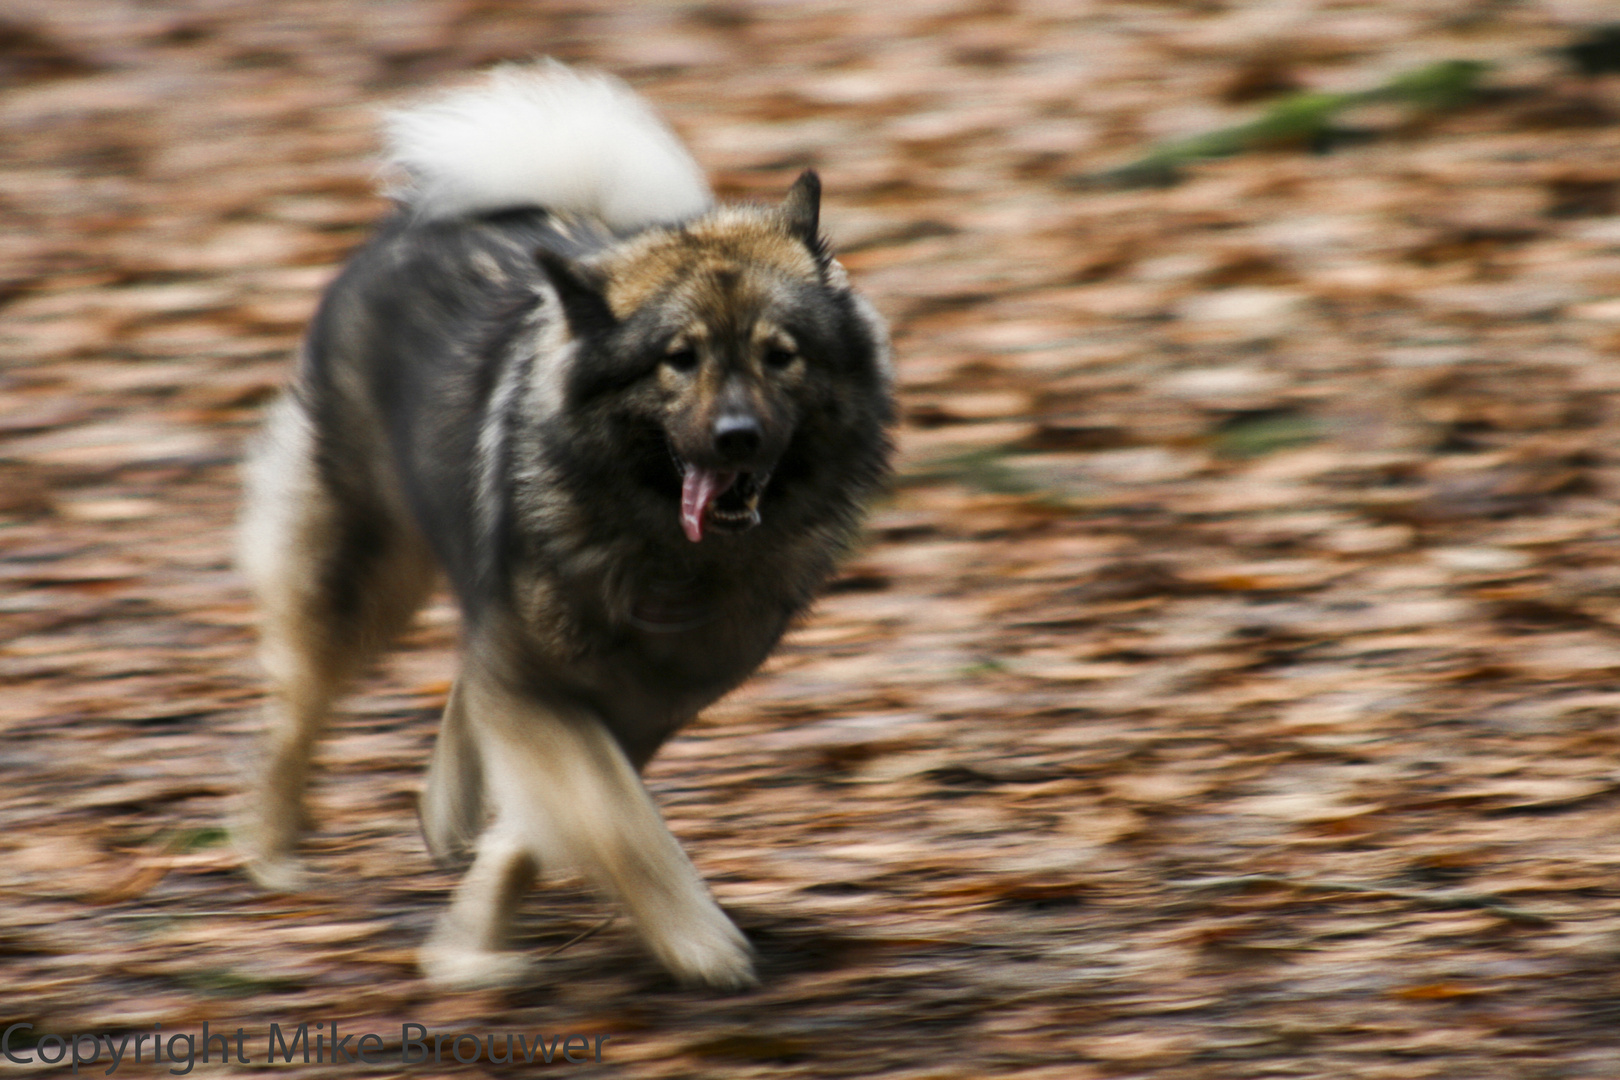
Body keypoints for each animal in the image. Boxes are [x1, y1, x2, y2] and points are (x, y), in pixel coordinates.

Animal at [236, 59, 900, 990]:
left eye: (781, 356)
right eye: (680, 358)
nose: (738, 437)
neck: (664, 550)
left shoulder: (637, 708)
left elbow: (540, 833)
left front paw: (472, 936)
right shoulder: (543, 693)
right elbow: (617, 823)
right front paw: (697, 939)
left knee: (455, 683)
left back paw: (446, 807)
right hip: (365, 567)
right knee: (299, 704)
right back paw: (275, 850)